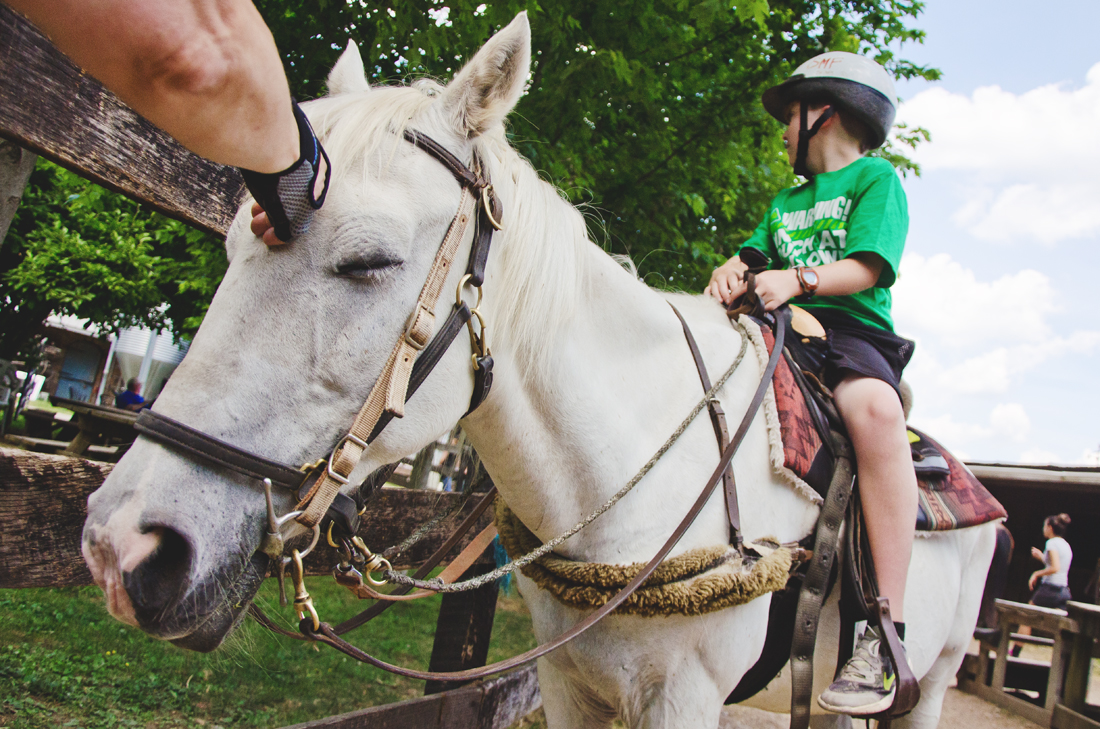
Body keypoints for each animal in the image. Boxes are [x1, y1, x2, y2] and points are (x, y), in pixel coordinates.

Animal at [83, 12, 998, 729]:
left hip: (934, 677)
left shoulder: (685, 698)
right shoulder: (568, 680)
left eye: (368, 260)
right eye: (230, 245)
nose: (122, 547)